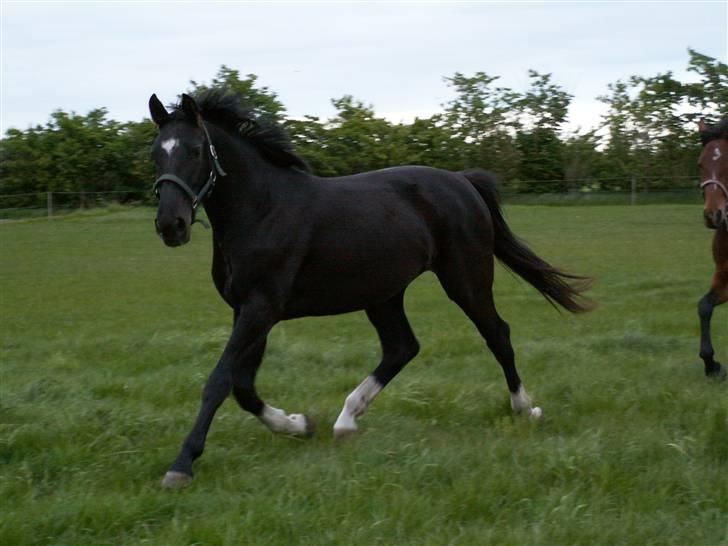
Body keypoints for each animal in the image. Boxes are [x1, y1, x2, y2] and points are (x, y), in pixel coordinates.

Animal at [149, 91, 592, 486]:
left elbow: (219, 381)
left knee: (496, 333)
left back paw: (524, 408)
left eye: (194, 151)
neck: (263, 209)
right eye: (155, 153)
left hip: (465, 277)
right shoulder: (248, 310)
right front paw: (299, 424)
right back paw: (346, 421)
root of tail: (462, 181)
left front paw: (181, 466)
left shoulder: (261, 308)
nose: (171, 225)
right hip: (384, 294)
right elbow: (242, 386)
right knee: (402, 347)